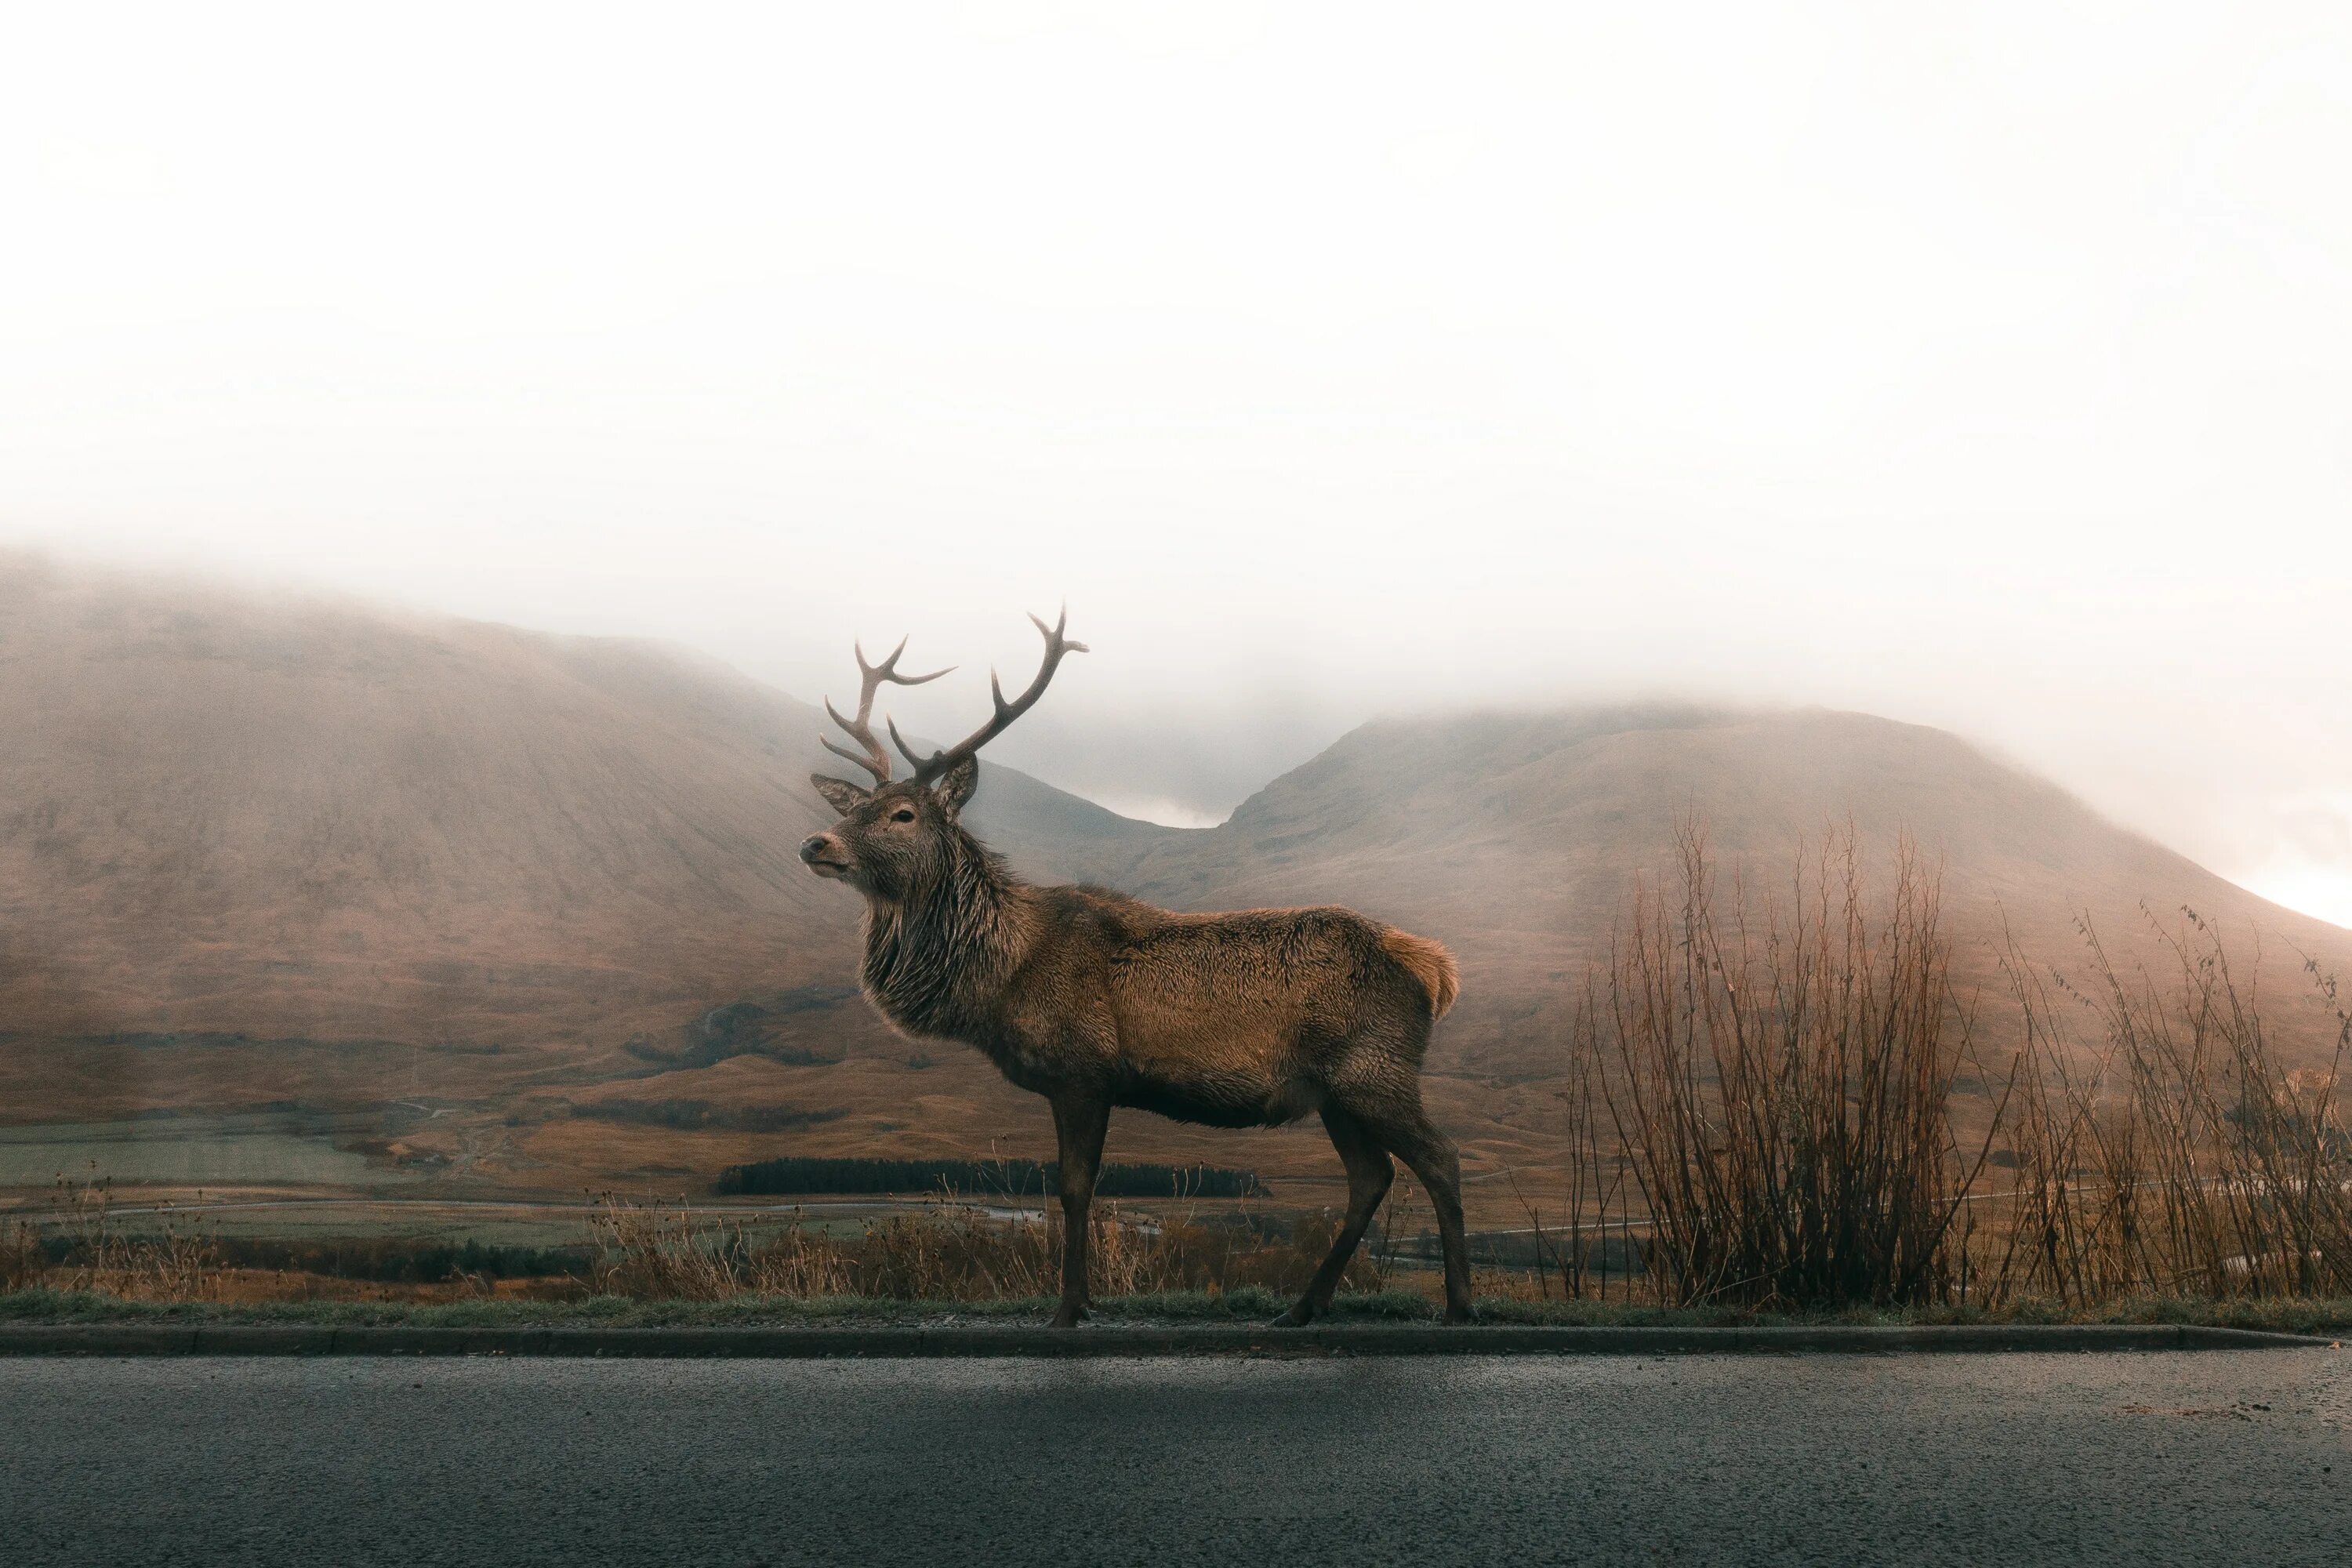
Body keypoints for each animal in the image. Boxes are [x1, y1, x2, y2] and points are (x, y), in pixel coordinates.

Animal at [809, 611, 1468, 1326]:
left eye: (903, 814)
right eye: (851, 809)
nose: (816, 843)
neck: (999, 980)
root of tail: (1434, 969)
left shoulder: (1084, 1071)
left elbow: (1074, 1190)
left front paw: (1069, 1307)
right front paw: (1084, 1299)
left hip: (1375, 1070)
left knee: (1440, 1158)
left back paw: (1460, 1303)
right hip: (1334, 1092)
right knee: (1372, 1176)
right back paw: (1301, 1307)